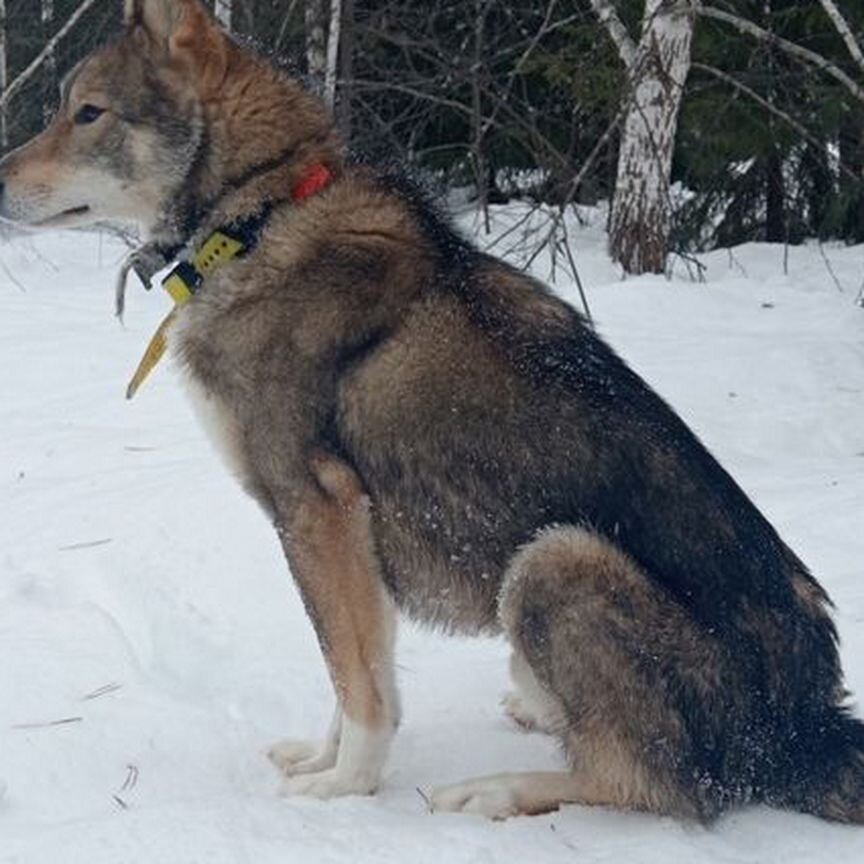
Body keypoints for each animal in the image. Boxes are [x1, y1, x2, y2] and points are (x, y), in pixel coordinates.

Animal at [1, 0, 864, 824]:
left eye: (87, 112)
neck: (261, 216)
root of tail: (807, 729)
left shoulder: (318, 511)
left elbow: (358, 685)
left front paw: (345, 787)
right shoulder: (345, 537)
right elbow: (356, 668)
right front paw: (326, 759)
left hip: (555, 561)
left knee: (659, 786)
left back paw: (497, 791)